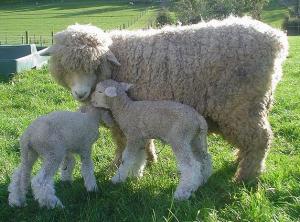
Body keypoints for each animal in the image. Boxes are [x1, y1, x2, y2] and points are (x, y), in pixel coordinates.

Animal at [42, 16, 288, 181]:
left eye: (94, 65)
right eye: (64, 66)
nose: (81, 93)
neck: (118, 62)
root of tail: (277, 40)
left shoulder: (123, 117)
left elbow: (121, 143)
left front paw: (116, 166)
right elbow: (144, 141)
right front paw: (150, 159)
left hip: (240, 105)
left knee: (260, 139)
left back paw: (246, 176)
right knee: (251, 140)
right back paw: (240, 161)